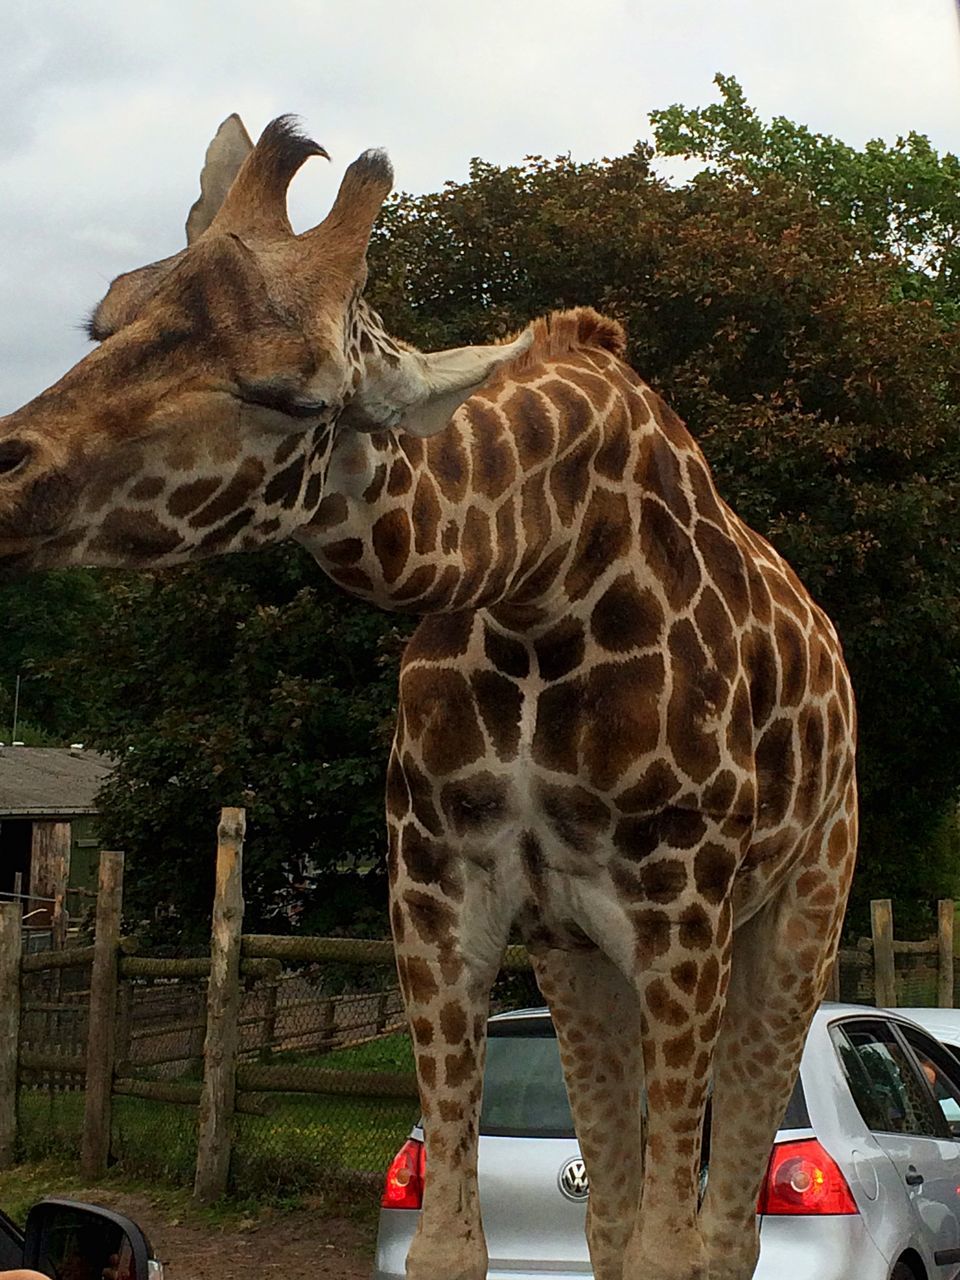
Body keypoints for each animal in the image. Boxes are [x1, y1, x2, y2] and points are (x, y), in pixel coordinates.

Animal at [0, 115, 855, 1274]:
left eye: (293, 395)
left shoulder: (684, 911)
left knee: (726, 1226)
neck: (540, 582)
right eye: (105, 323)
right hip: (578, 955)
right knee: (606, 1209)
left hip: (799, 907)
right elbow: (454, 1240)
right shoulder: (439, 895)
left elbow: (671, 1249)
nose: (2, 483)